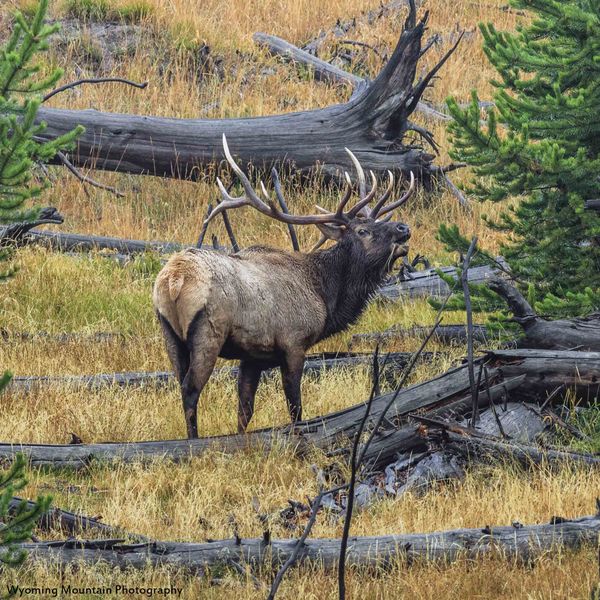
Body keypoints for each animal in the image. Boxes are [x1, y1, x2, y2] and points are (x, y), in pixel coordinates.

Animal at [155, 136, 412, 438]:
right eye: (363, 231)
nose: (403, 228)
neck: (324, 295)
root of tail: (174, 280)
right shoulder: (294, 343)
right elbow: (295, 406)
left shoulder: (253, 356)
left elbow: (244, 411)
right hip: (208, 330)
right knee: (190, 388)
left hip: (169, 332)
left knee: (180, 382)